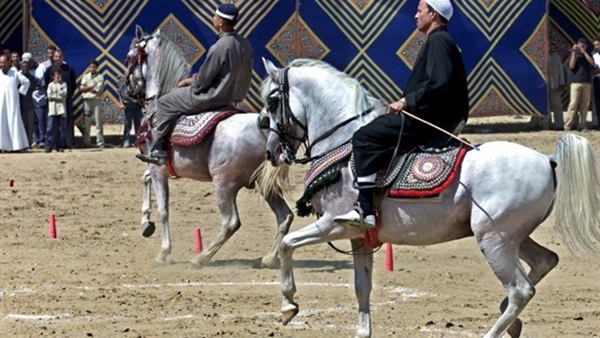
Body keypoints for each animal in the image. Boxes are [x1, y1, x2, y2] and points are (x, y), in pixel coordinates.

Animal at [126, 26, 292, 268]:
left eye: (130, 57)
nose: (126, 91)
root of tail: (264, 128)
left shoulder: (158, 167)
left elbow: (163, 209)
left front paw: (163, 251)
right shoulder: (158, 166)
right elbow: (143, 179)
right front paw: (145, 223)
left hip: (224, 184)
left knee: (231, 222)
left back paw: (201, 257)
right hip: (264, 184)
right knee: (285, 217)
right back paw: (269, 258)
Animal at [258, 58, 600, 338]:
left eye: (273, 102)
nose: (271, 151)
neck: (344, 143)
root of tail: (547, 159)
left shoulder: (335, 225)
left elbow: (287, 244)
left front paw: (288, 305)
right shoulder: (359, 238)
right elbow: (361, 288)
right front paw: (362, 331)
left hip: (494, 240)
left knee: (521, 290)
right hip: (512, 236)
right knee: (544, 261)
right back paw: (510, 319)